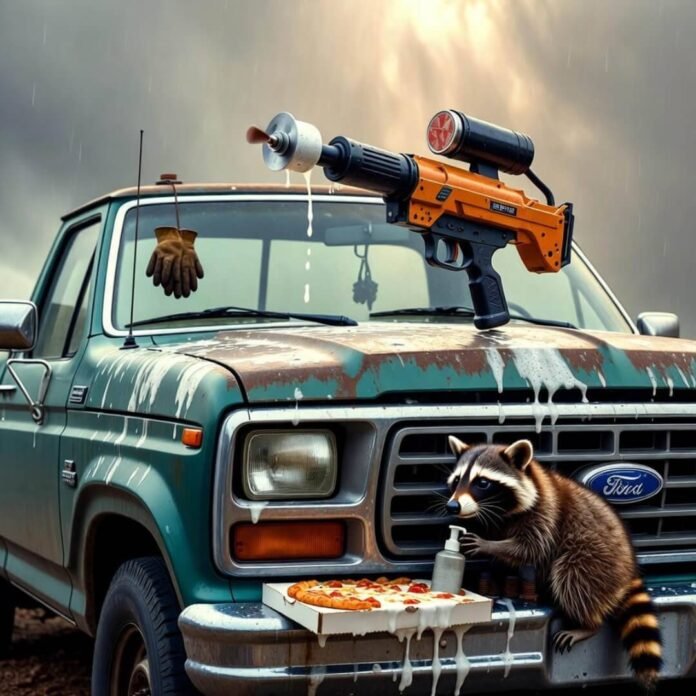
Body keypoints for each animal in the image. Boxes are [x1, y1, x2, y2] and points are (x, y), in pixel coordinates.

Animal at [445, 436, 662, 689]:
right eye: (457, 480)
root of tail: (628, 570)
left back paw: (588, 625)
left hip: (595, 558)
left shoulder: (546, 513)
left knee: (572, 576)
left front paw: (489, 545)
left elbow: (530, 549)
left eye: (482, 482)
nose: (453, 506)